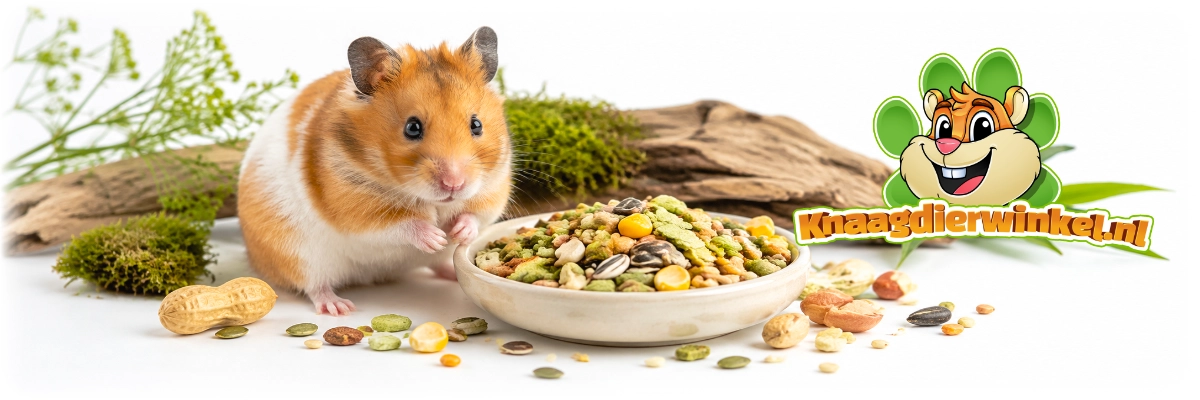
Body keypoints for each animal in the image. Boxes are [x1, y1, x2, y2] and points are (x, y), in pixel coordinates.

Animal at [237, 27, 512, 316]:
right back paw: (339, 307)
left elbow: (475, 215)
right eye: (412, 127)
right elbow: (401, 225)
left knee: (437, 265)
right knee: (314, 286)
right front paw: (436, 237)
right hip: (300, 257)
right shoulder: (358, 209)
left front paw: (458, 233)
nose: (454, 184)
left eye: (477, 124)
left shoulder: (493, 188)